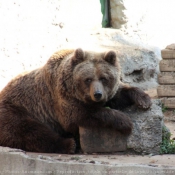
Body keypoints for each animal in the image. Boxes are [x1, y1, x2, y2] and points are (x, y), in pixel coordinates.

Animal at [0, 48, 151, 153]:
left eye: (104, 78)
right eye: (88, 79)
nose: (97, 94)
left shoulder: (108, 93)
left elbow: (118, 95)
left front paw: (144, 100)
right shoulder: (61, 96)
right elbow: (79, 114)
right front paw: (124, 121)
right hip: (16, 110)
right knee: (30, 130)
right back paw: (69, 144)